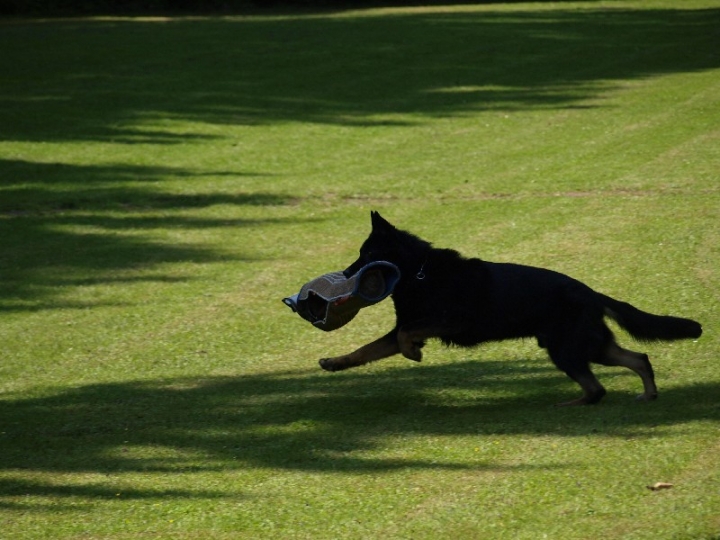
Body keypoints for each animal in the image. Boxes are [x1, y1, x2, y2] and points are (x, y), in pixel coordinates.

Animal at [318, 211, 700, 404]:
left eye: (368, 254)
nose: (347, 275)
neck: (418, 273)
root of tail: (592, 293)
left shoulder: (452, 321)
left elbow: (405, 336)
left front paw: (413, 352)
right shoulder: (404, 327)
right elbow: (366, 349)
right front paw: (336, 362)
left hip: (567, 349)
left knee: (598, 388)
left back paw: (572, 403)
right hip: (588, 346)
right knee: (637, 359)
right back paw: (647, 394)